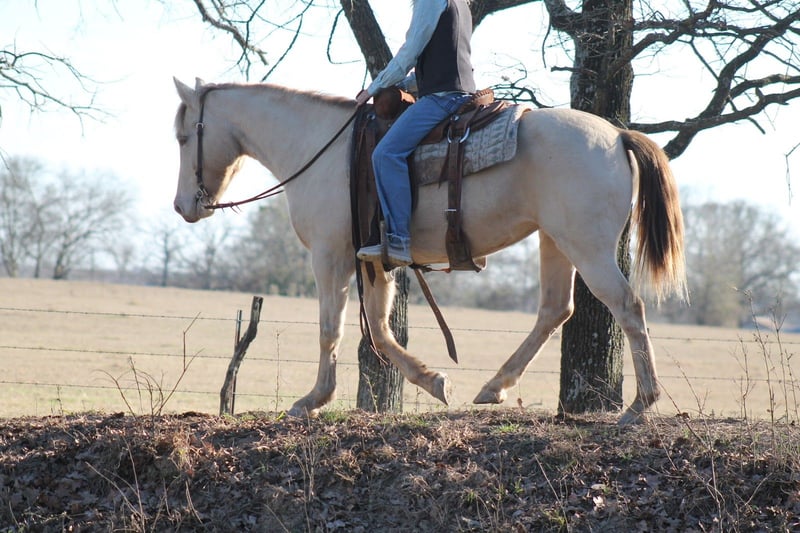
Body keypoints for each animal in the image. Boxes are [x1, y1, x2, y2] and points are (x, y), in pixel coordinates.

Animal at [172, 77, 687, 425]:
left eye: (183, 136)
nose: (182, 207)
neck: (320, 148)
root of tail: (617, 134)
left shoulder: (330, 255)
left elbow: (330, 330)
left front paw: (312, 400)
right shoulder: (374, 261)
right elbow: (379, 332)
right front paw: (434, 380)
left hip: (587, 246)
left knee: (628, 306)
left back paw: (640, 405)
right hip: (556, 241)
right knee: (555, 310)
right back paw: (494, 387)